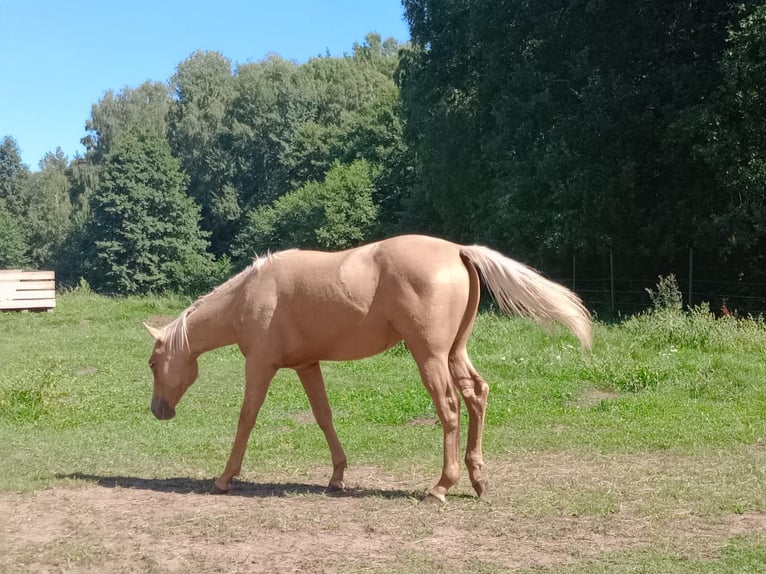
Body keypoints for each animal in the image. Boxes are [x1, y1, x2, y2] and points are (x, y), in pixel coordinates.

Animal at [144, 234, 591, 503]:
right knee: (476, 396)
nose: (158, 411)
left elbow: (246, 417)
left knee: (449, 409)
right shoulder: (307, 365)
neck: (251, 294)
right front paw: (337, 476)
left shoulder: (260, 365)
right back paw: (479, 481)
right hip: (455, 352)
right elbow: (323, 416)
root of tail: (458, 250)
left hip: (430, 356)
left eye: (152, 363)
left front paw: (224, 478)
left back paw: (441, 487)